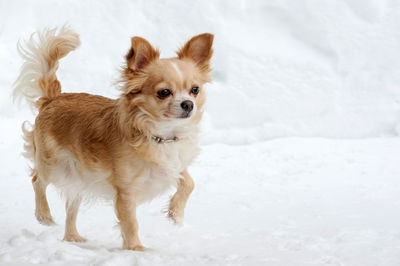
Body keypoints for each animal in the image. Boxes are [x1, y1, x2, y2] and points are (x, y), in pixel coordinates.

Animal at [13, 26, 212, 250]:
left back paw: (72, 237)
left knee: (71, 206)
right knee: (37, 180)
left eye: (195, 90)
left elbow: (189, 183)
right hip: (53, 165)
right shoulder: (125, 192)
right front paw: (135, 249)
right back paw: (44, 215)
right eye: (164, 92)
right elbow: (131, 223)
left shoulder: (173, 167)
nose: (188, 104)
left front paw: (176, 214)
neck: (161, 135)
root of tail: (53, 98)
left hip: (78, 178)